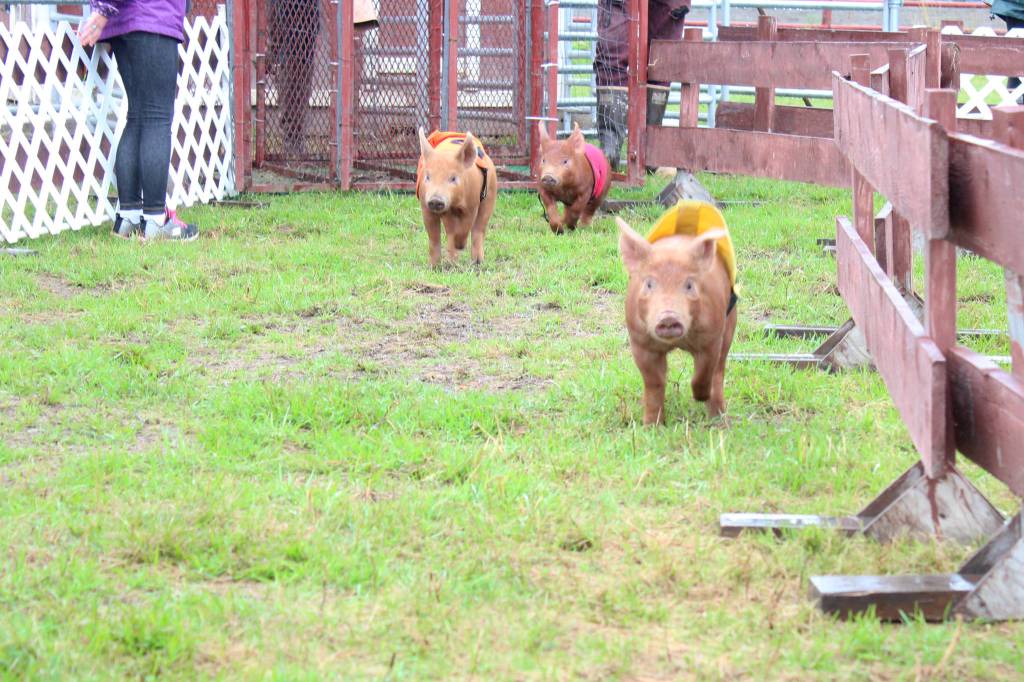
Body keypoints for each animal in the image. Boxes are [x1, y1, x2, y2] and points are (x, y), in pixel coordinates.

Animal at [416, 127, 498, 267]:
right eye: (427, 177)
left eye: (453, 178)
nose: (436, 200)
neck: (454, 203)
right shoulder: (425, 205)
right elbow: (433, 236)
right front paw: (433, 266)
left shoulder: (472, 204)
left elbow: (466, 226)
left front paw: (461, 245)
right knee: (450, 232)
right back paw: (451, 263)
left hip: (490, 195)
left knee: (479, 228)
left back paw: (477, 262)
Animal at [617, 209, 738, 424]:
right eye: (649, 283)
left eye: (689, 285)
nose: (668, 318)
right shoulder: (640, 341)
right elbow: (654, 383)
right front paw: (651, 426)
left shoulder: (712, 336)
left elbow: (704, 372)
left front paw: (699, 397)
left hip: (731, 321)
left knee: (719, 369)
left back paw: (719, 421)